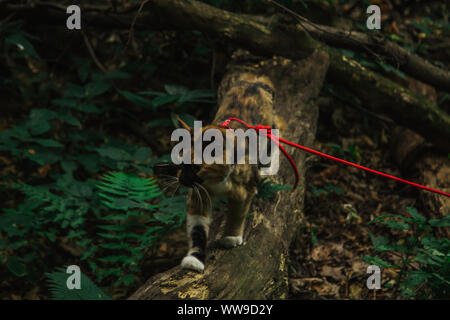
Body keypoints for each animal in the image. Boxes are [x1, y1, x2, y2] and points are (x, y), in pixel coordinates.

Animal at [155, 73, 278, 272]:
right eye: (180, 162)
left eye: (196, 167)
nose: (182, 180)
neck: (218, 181)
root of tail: (254, 80)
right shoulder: (198, 194)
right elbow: (197, 230)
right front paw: (195, 258)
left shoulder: (246, 190)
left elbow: (238, 213)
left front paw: (231, 236)